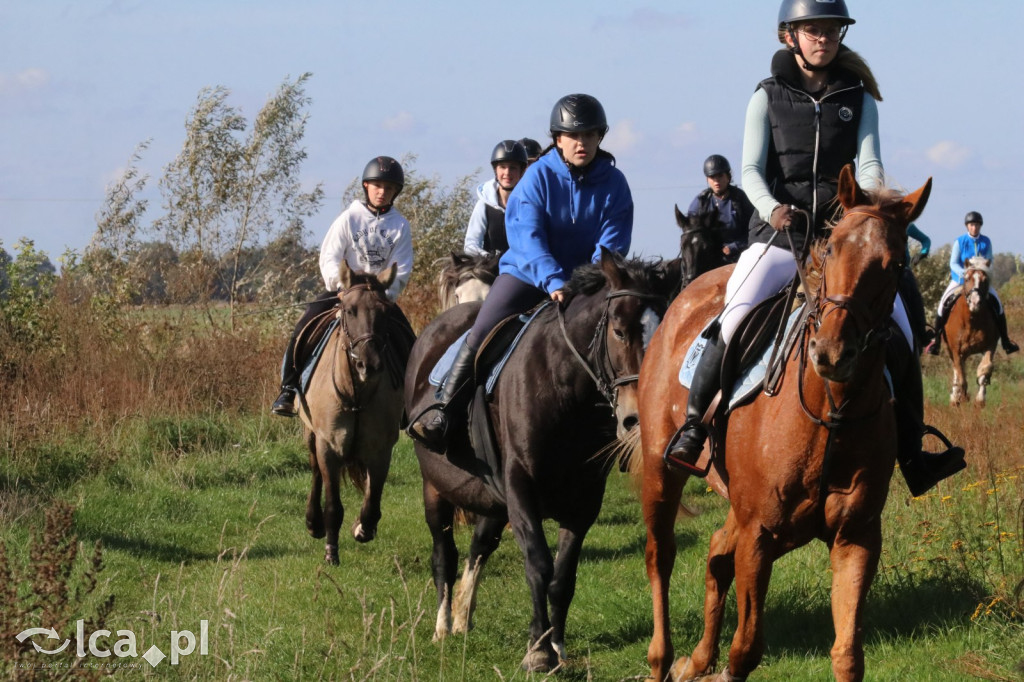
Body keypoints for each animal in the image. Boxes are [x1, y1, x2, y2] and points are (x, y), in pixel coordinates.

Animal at [299, 260, 405, 561]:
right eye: (349, 310)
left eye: (385, 311)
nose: (368, 365)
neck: (356, 392)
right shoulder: (328, 446)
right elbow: (333, 504)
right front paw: (331, 552)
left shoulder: (381, 448)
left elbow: (373, 500)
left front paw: (362, 528)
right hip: (310, 433)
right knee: (314, 470)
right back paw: (313, 522)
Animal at [403, 248, 667, 667]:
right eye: (619, 331)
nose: (637, 417)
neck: (565, 388)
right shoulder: (520, 486)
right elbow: (539, 566)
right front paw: (539, 651)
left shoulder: (584, 501)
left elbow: (563, 576)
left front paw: (556, 644)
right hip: (436, 487)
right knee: (444, 554)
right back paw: (443, 626)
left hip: (492, 499)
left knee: (479, 547)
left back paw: (462, 616)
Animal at [634, 165, 933, 679]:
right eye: (831, 249)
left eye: (895, 265)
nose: (832, 352)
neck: (830, 415)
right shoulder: (760, 534)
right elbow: (746, 648)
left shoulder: (856, 538)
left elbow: (847, 655)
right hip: (661, 470)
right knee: (662, 556)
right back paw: (663, 658)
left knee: (716, 553)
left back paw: (697, 659)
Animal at [937, 254, 995, 403]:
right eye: (967, 278)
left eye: (985, 280)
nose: (975, 302)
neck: (971, 321)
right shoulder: (956, 350)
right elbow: (961, 377)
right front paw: (960, 396)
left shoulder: (990, 345)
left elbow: (984, 369)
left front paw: (980, 399)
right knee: (957, 370)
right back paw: (955, 396)